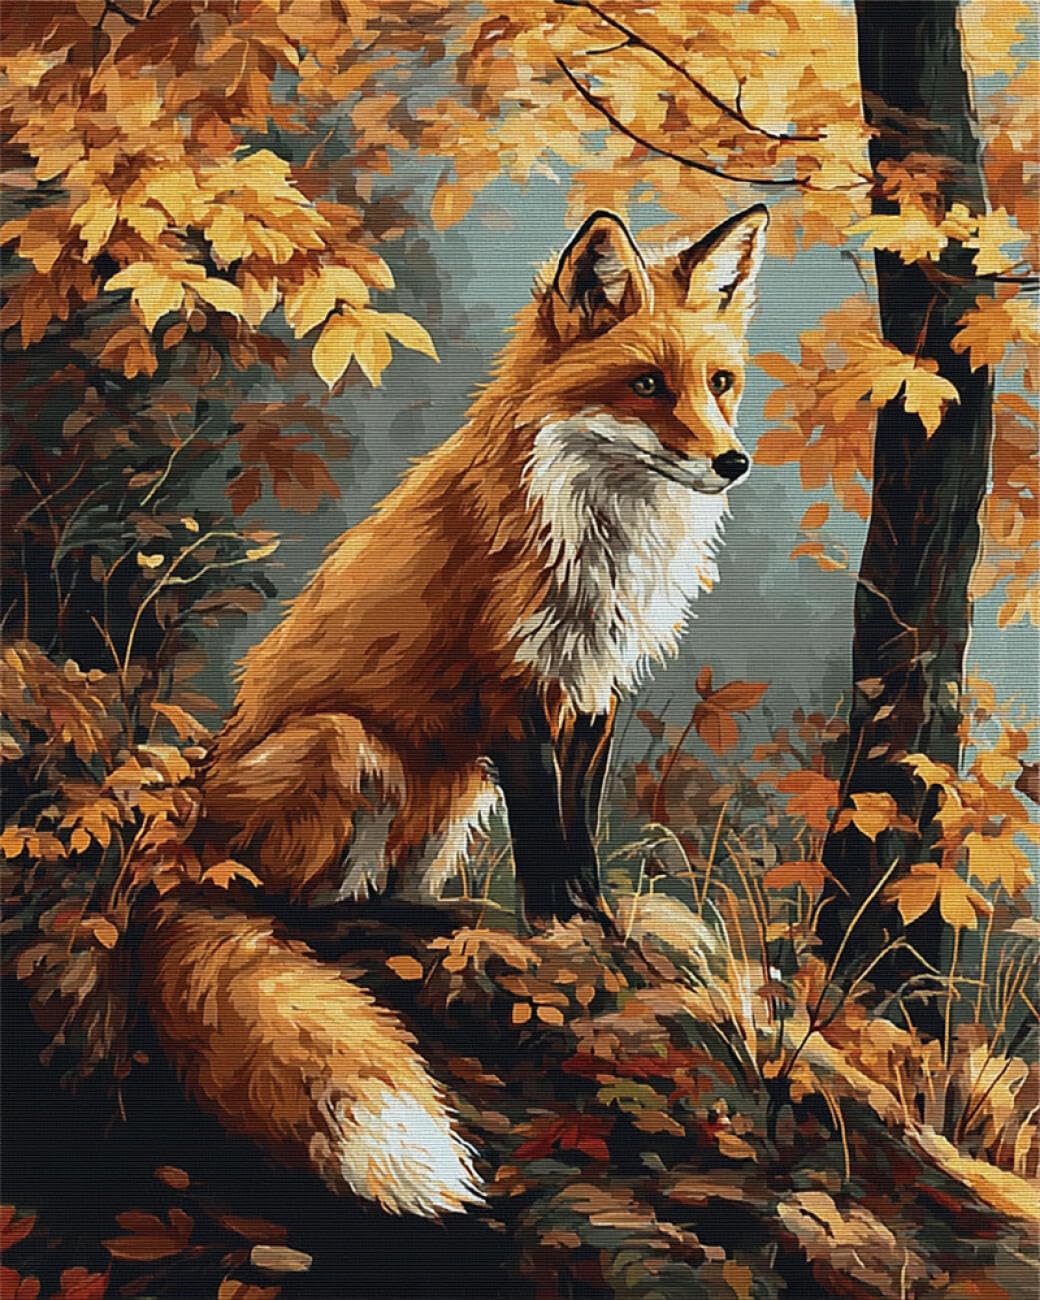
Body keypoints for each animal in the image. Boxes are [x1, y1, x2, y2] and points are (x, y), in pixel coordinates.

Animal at [139, 204, 769, 1219]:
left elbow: (577, 830)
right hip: (347, 747)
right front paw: (560, 933)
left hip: (455, 791)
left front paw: (599, 927)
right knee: (304, 911)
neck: (601, 541)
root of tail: (179, 853)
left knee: (385, 894)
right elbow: (548, 842)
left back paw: (446, 913)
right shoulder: (509, 691)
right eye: (645, 384)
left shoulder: (591, 692)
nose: (732, 461)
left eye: (720, 383)